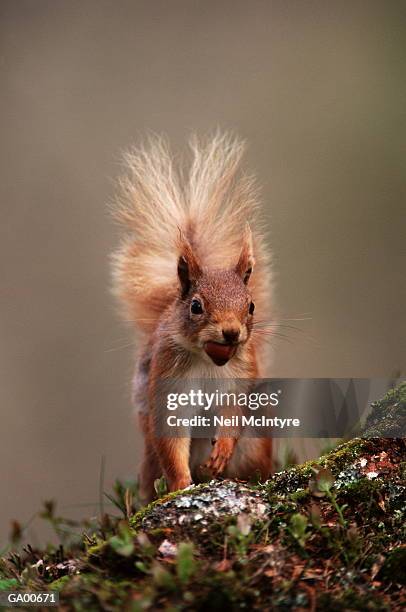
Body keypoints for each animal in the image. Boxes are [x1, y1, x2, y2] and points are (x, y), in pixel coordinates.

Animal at [112, 134, 272, 502]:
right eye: (196, 306)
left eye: (251, 306)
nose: (231, 332)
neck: (207, 360)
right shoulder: (168, 379)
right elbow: (171, 438)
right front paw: (181, 484)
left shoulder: (241, 374)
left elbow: (233, 413)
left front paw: (222, 449)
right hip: (149, 461)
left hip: (255, 445)